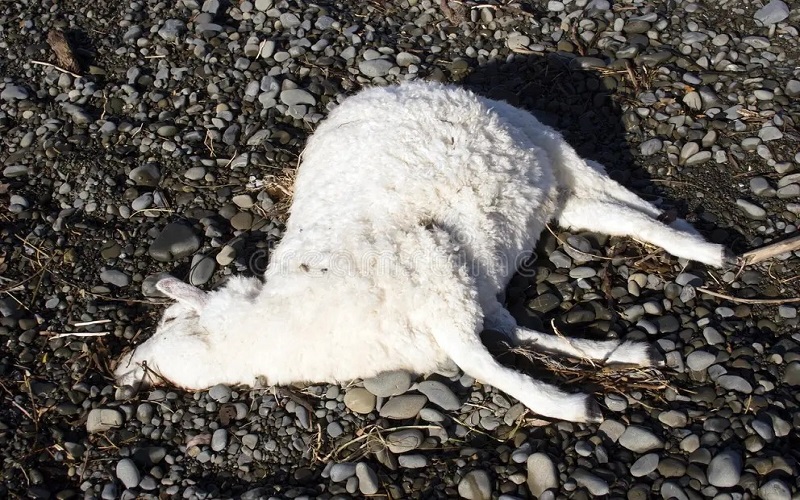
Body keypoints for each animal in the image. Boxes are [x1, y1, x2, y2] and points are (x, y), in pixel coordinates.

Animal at [114, 81, 732, 423]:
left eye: (170, 319)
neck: (282, 320)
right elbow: (514, 336)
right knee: (614, 212)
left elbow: (488, 367)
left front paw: (565, 406)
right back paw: (697, 245)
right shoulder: (466, 302)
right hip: (552, 184)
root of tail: (391, 87)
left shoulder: (442, 284)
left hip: (546, 141)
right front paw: (621, 354)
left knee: (619, 192)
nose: (121, 372)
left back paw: (708, 249)